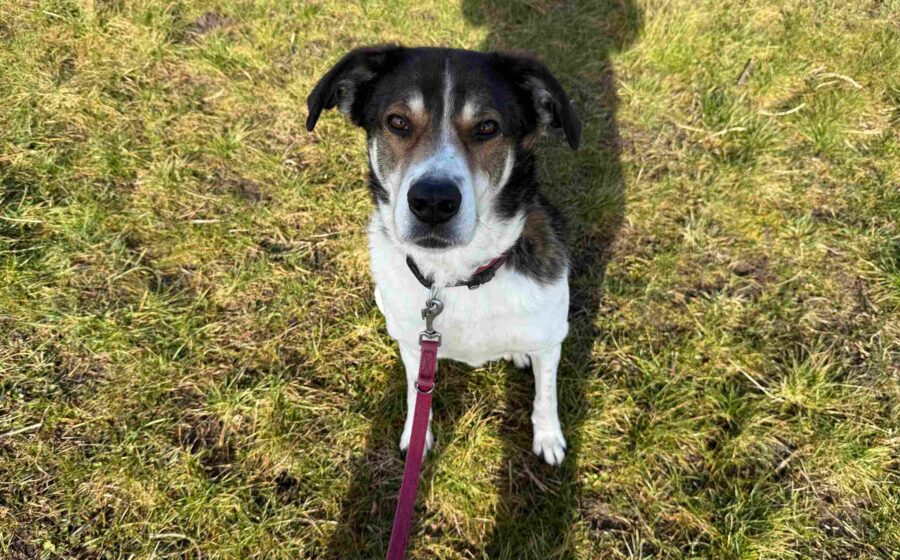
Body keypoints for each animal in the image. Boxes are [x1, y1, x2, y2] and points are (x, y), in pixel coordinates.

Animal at [306, 46, 580, 466]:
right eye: (397, 121)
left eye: (487, 127)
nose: (433, 202)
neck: (459, 276)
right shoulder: (413, 344)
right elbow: (416, 390)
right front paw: (416, 436)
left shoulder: (551, 339)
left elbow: (545, 396)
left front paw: (549, 438)